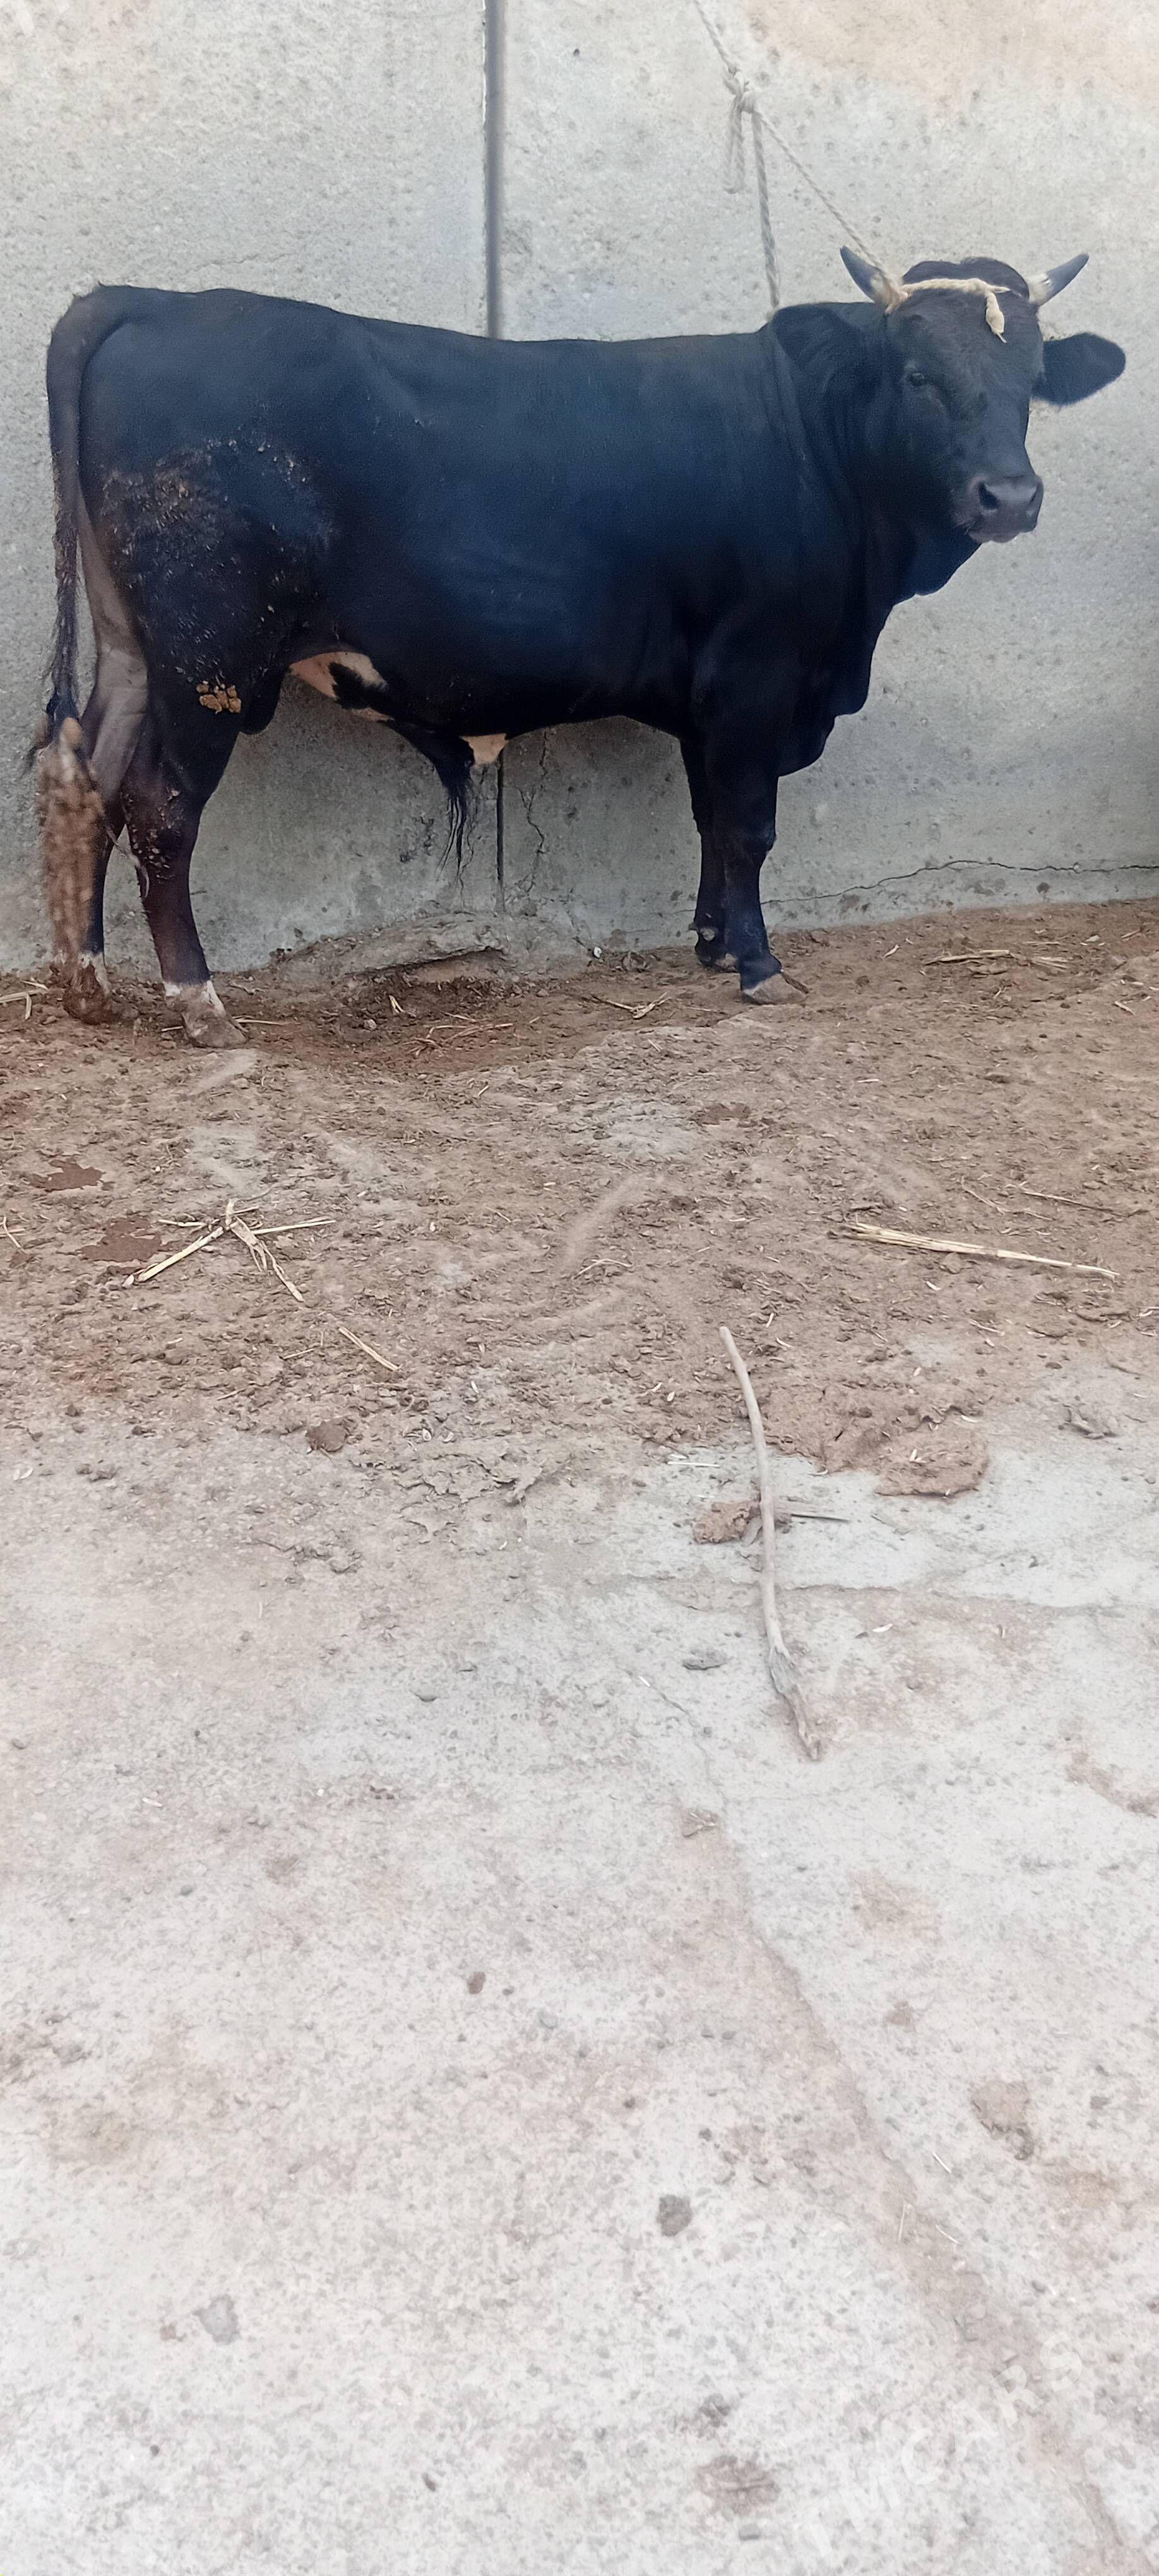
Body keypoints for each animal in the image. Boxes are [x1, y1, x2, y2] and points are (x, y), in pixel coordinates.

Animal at [35, 248, 1124, 1046]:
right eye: (918, 375)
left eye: (1032, 381)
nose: (1010, 497)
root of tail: (147, 300)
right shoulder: (760, 676)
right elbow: (750, 825)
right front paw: (760, 966)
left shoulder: (711, 696)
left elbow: (711, 819)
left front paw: (712, 943)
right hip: (210, 660)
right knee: (161, 806)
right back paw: (197, 1001)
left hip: (134, 649)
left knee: (89, 776)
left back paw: (88, 981)